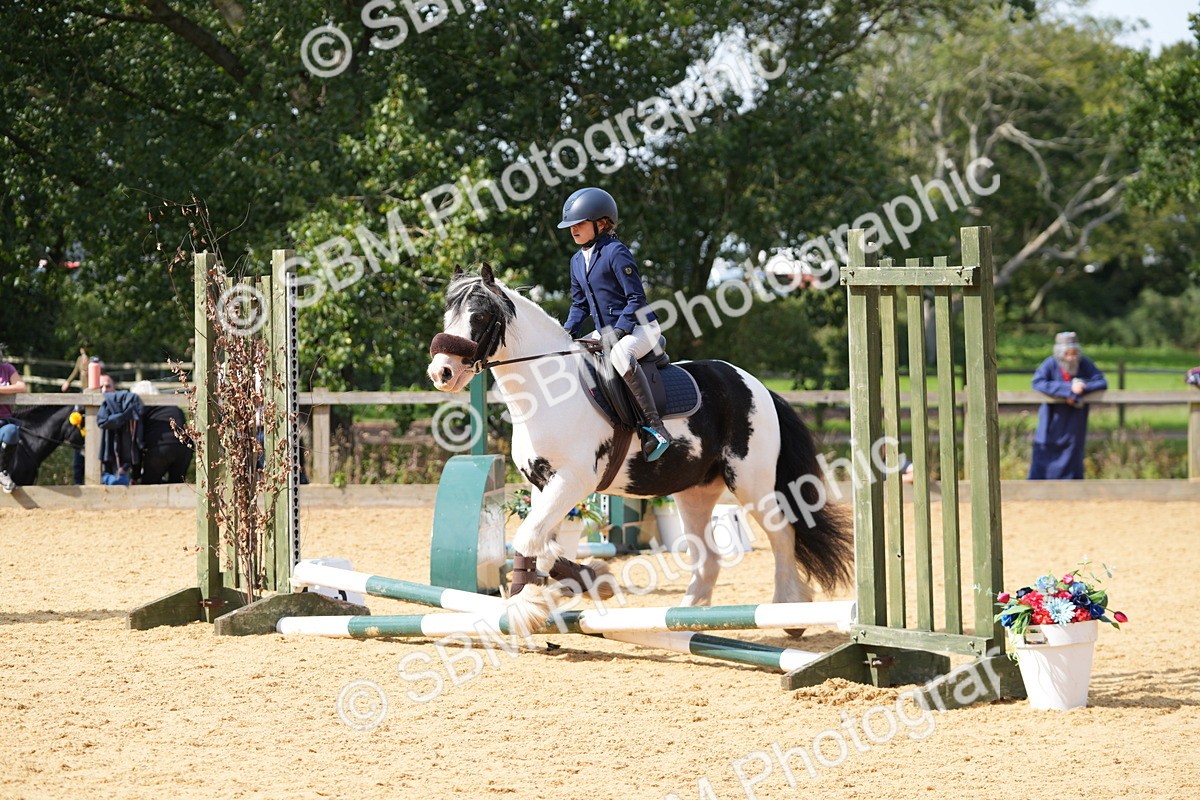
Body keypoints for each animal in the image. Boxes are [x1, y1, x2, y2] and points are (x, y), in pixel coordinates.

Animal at [427, 265, 852, 636]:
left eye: (480, 316)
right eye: (448, 314)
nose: (441, 373)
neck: (546, 391)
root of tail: (756, 385)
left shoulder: (575, 480)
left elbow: (531, 539)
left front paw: (529, 602)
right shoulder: (540, 482)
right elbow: (540, 543)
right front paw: (588, 580)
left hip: (752, 484)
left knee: (783, 536)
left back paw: (788, 612)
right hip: (696, 492)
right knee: (708, 557)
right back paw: (688, 618)